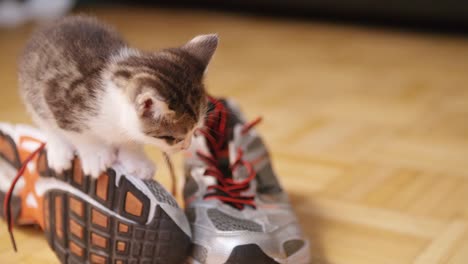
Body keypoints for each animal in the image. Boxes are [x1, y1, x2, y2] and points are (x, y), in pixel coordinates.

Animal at [17, 14, 216, 179]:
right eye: (174, 138)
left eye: (195, 130)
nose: (186, 146)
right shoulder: (58, 97)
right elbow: (80, 134)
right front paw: (95, 155)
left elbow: (131, 140)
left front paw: (136, 160)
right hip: (31, 86)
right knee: (44, 121)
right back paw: (59, 150)